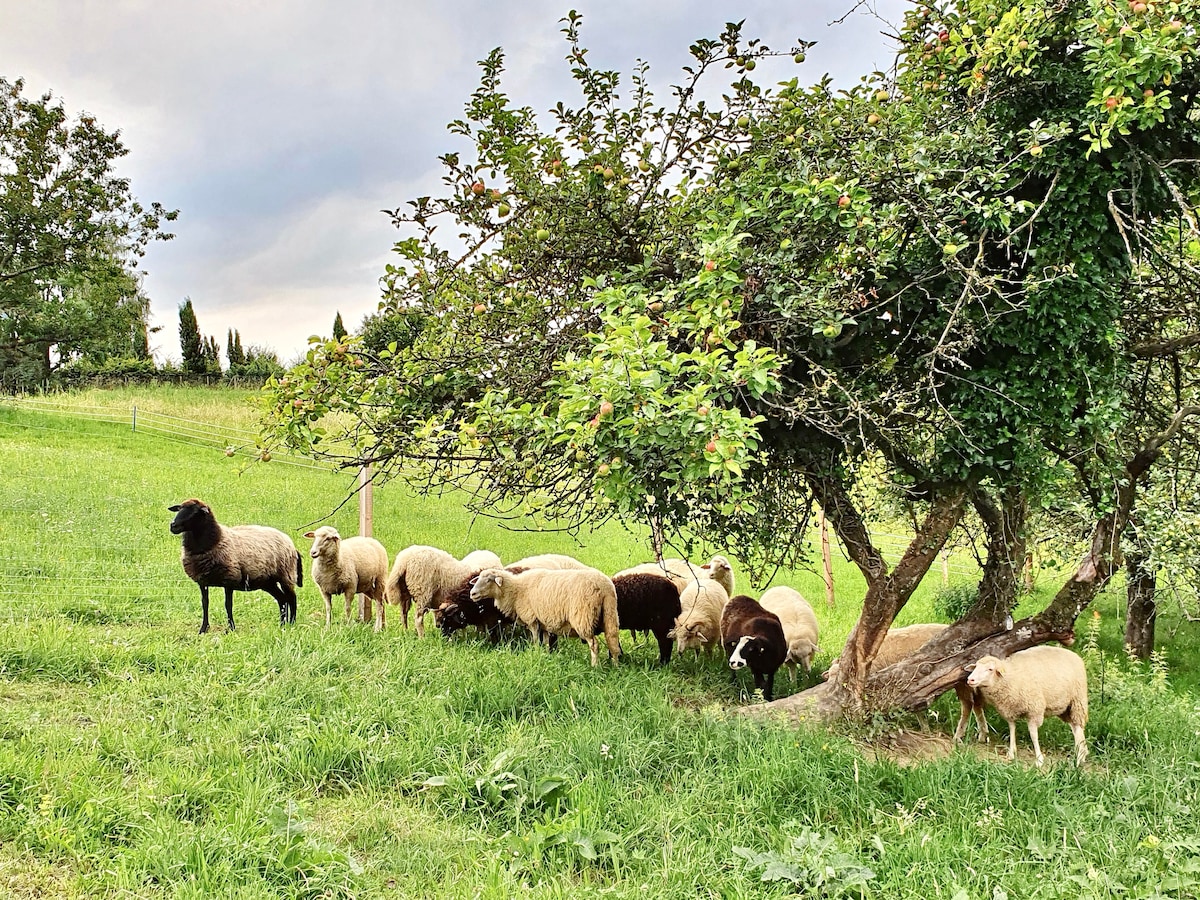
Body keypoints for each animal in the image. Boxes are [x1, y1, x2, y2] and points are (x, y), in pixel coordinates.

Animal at [166, 501, 302, 633]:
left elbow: (228, 605)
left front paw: (231, 628)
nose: (173, 525)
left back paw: (291, 623)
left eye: (195, 512)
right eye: (179, 509)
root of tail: (291, 543)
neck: (214, 541)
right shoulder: (202, 581)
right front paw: (203, 629)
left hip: (286, 574)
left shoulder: (229, 579)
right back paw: (282, 625)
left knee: (292, 598)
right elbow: (205, 604)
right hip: (268, 581)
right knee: (282, 599)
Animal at [465, 566, 619, 667]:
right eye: (478, 579)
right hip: (610, 613)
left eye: (489, 580)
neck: (516, 591)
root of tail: (604, 587)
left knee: (594, 644)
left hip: (583, 617)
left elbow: (535, 640)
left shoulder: (532, 619)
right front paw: (545, 656)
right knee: (613, 641)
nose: (472, 594)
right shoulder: (544, 623)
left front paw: (535, 653)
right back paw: (615, 665)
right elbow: (545, 642)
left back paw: (594, 666)